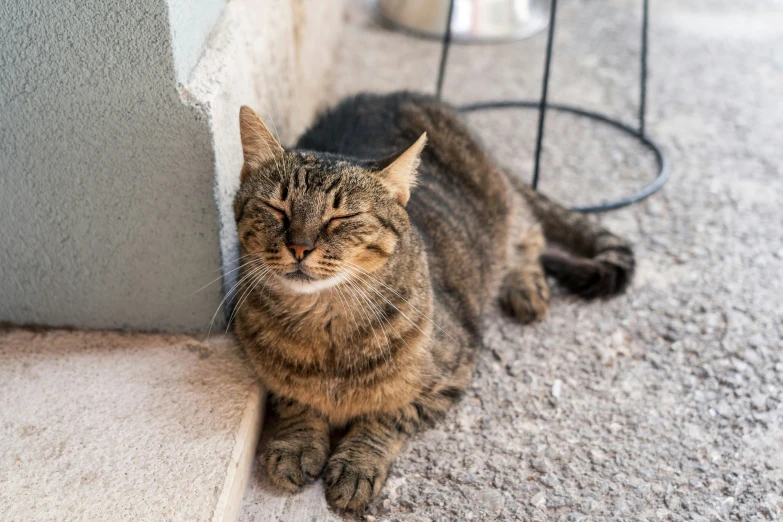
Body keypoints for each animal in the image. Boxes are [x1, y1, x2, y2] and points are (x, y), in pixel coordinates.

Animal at [233, 91, 636, 510]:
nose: (299, 246)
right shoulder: (267, 373)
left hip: (504, 212)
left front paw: (357, 463)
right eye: (276, 209)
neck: (323, 325)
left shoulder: (451, 376)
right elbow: (295, 401)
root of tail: (395, 95)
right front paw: (297, 444)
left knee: (529, 235)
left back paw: (526, 287)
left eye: (341, 218)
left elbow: (388, 416)